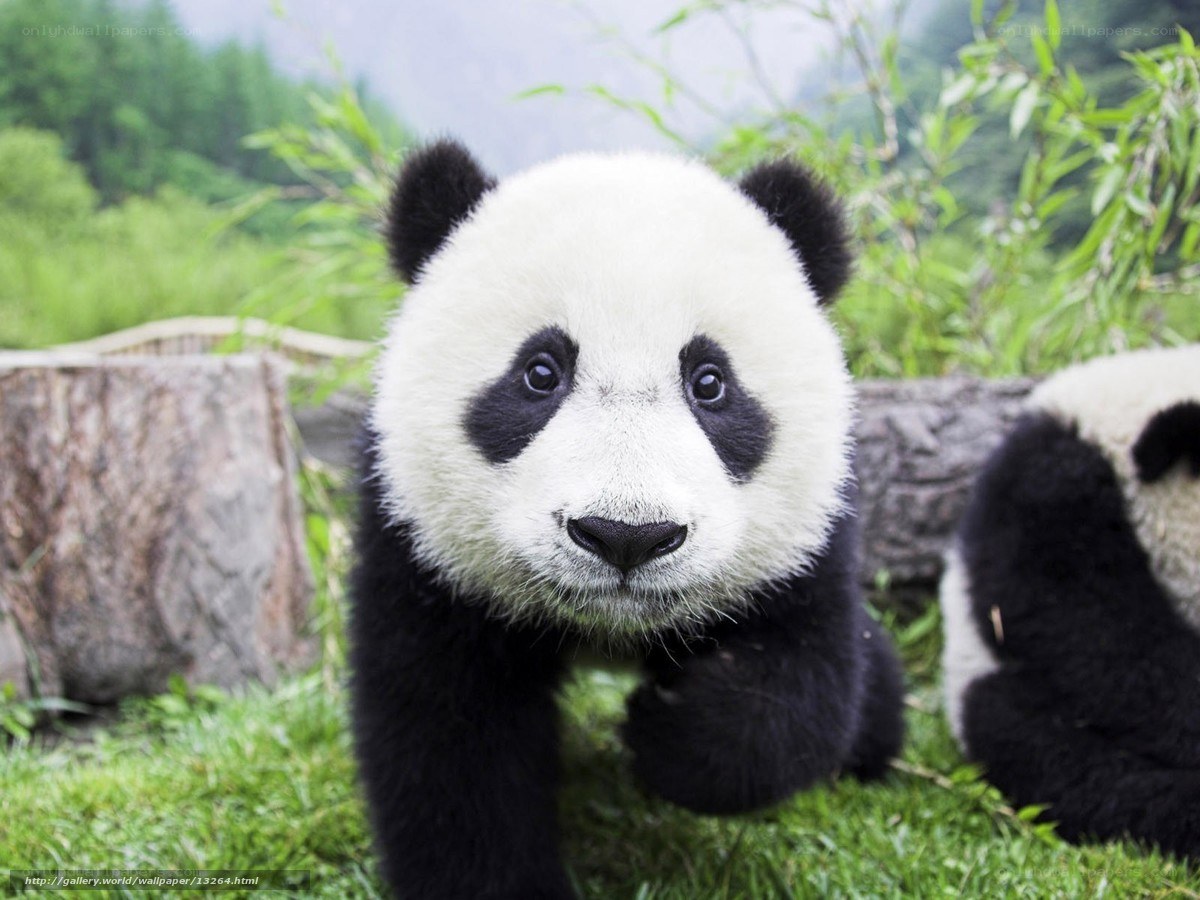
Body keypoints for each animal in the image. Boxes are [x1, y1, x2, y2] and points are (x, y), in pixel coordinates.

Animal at [349, 140, 906, 899]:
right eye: (540, 372)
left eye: (710, 383)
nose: (626, 536)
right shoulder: (418, 544)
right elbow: (449, 742)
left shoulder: (809, 538)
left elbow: (800, 684)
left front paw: (669, 728)